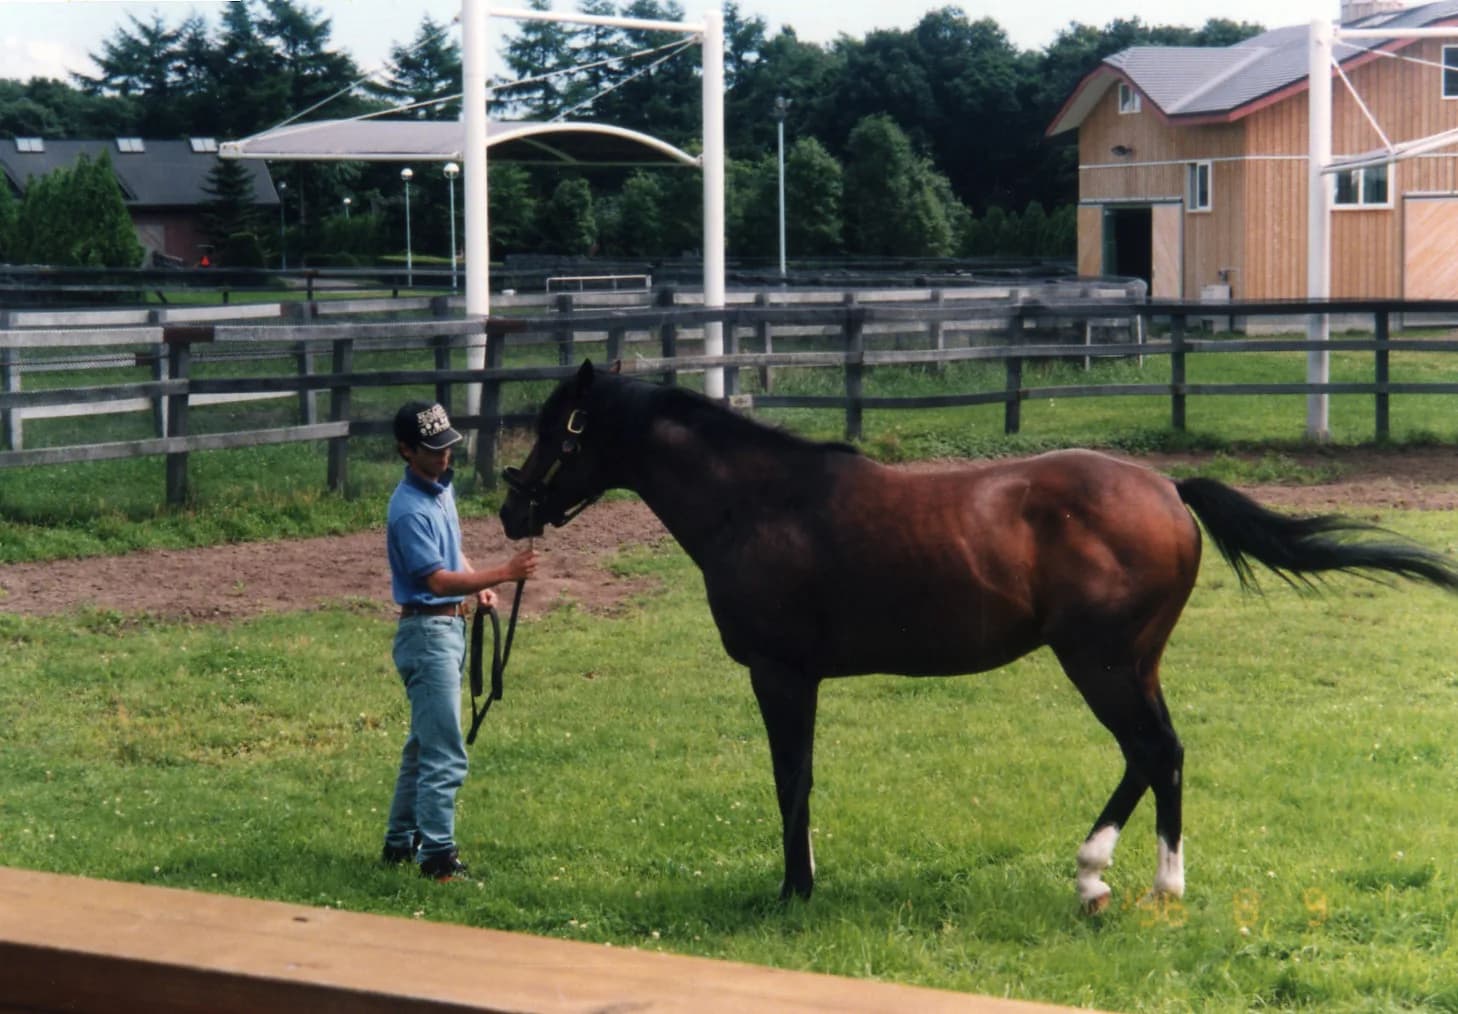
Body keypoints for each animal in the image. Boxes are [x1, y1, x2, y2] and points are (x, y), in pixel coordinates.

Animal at [500, 360, 1458, 912]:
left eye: (561, 431)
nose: (511, 511)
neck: (761, 502)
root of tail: (1167, 488)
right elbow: (798, 781)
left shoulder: (781, 675)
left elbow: (790, 782)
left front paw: (793, 893)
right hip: (1131, 663)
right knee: (1160, 755)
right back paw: (1133, 879)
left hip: (1102, 662)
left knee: (1153, 751)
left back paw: (1113, 876)